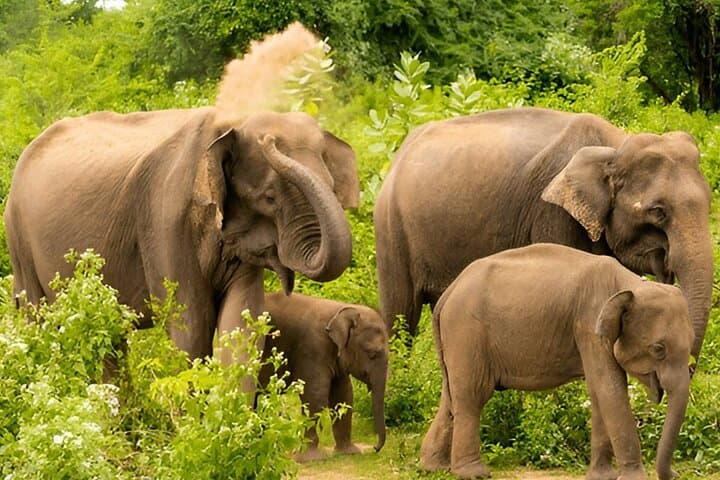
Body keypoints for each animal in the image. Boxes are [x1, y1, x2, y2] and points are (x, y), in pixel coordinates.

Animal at [4, 107, 359, 363]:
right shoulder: (164, 219)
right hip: (18, 240)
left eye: (331, 185)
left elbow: (241, 324)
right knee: (36, 318)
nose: (270, 141)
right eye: (269, 197)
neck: (227, 125)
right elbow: (191, 325)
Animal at [259, 292, 388, 461]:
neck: (341, 309)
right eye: (372, 353)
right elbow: (315, 396)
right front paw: (311, 459)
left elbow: (343, 395)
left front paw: (349, 453)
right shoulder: (312, 348)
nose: (375, 448)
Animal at [421, 243, 693, 480]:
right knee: (471, 395)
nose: (676, 474)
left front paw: (601, 476)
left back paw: (434, 467)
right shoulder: (588, 325)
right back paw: (473, 473)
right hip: (466, 330)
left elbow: (597, 393)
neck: (630, 285)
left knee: (450, 397)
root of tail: (448, 293)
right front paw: (633, 477)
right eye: (658, 349)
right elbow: (610, 389)